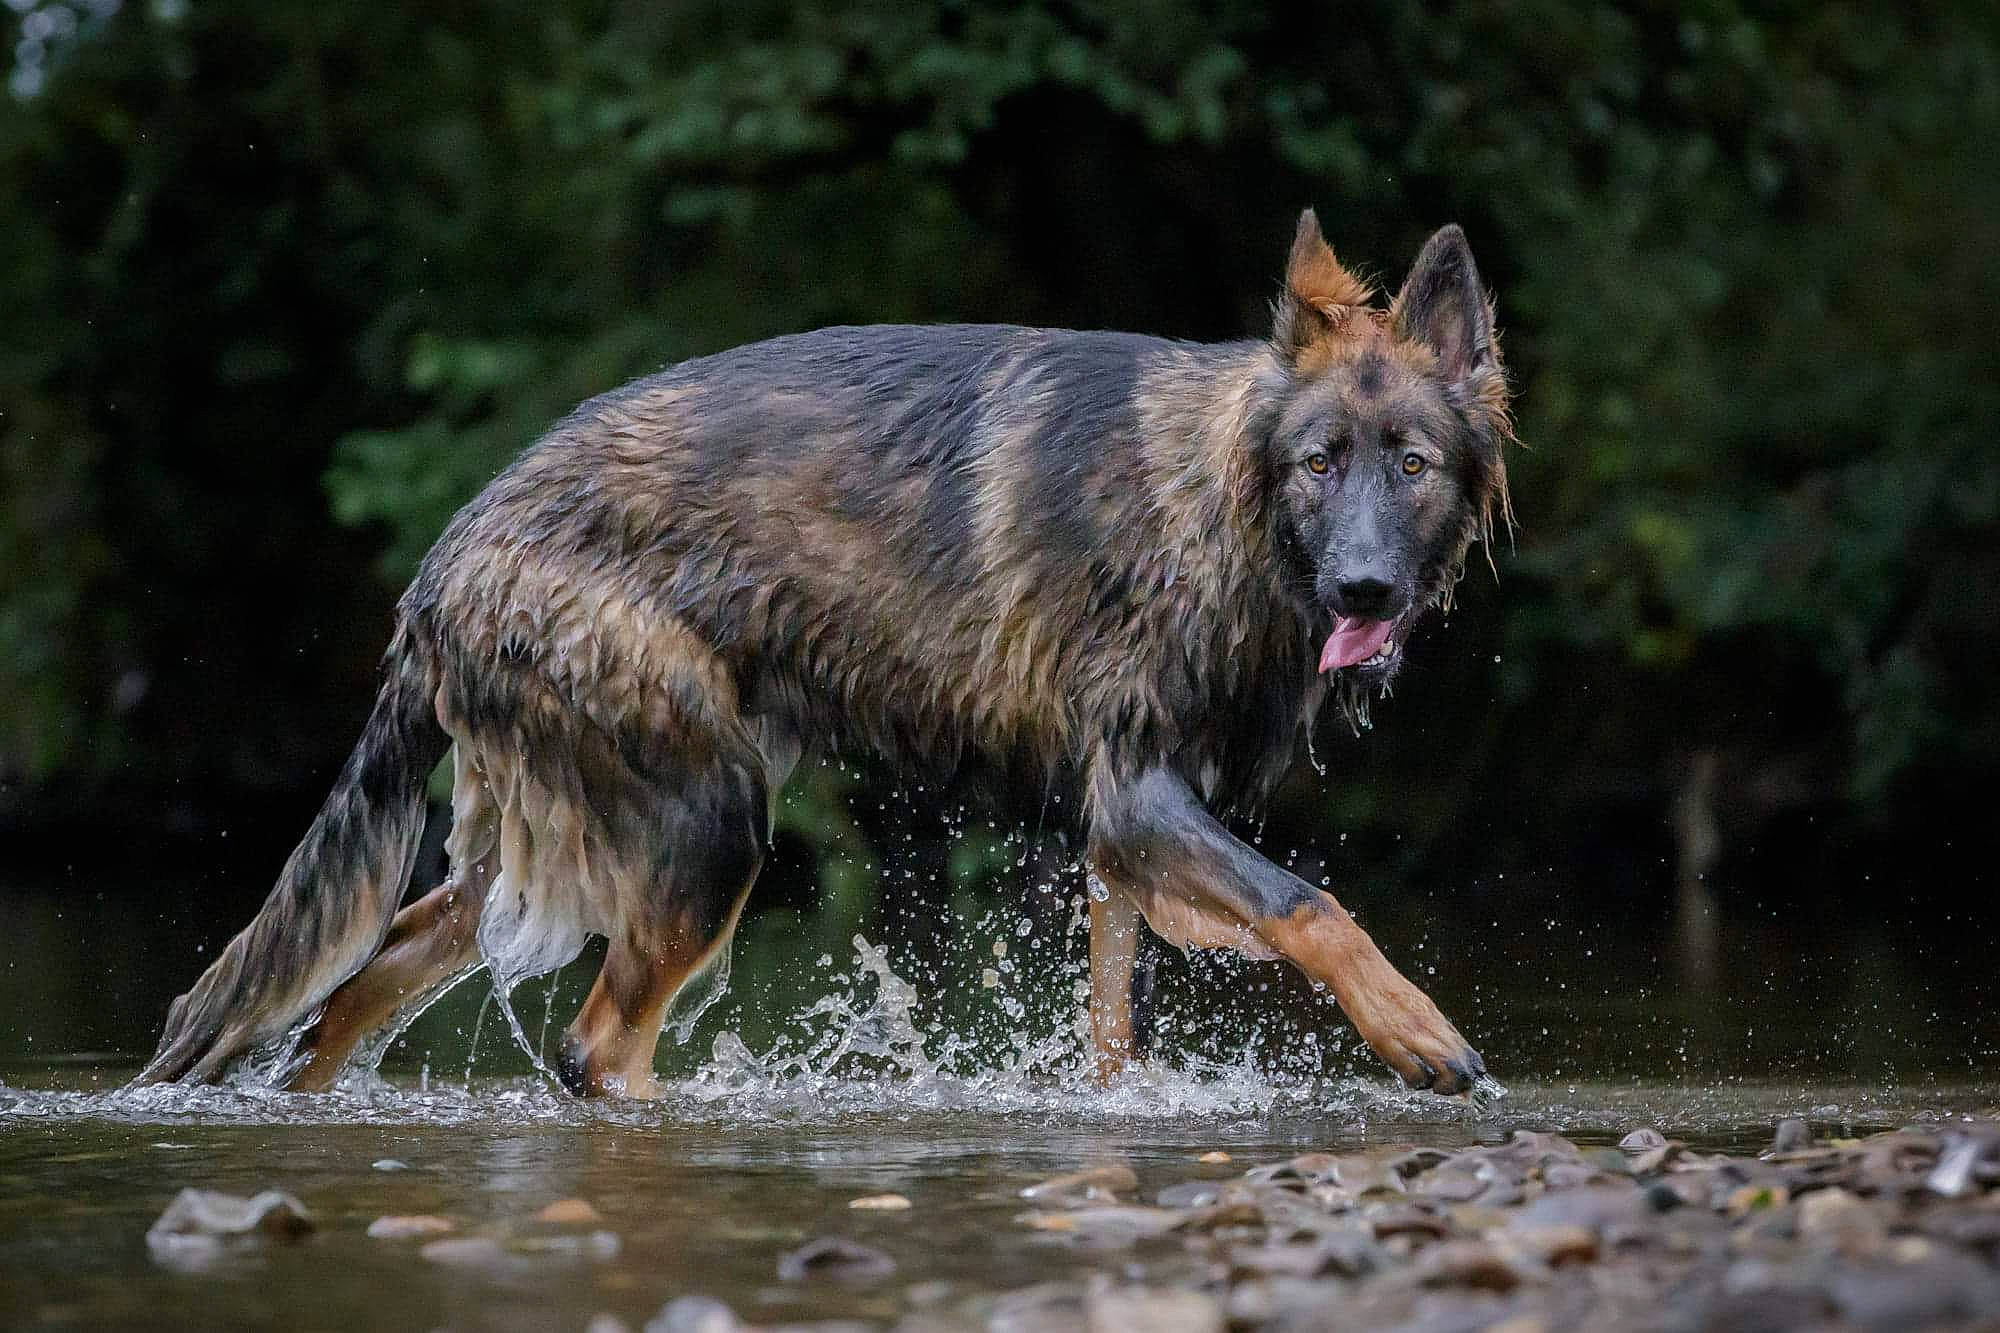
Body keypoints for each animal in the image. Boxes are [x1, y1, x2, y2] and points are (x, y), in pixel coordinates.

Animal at [137, 212, 1512, 1098]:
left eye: (1410, 465)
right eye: (1318, 463)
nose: (1365, 587)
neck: (1218, 502)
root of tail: (438, 568)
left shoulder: (1121, 836)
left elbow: (1113, 1030)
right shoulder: (1137, 800)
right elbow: (1311, 904)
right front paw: (1419, 1033)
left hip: (576, 835)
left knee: (359, 975)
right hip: (707, 824)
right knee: (595, 1051)